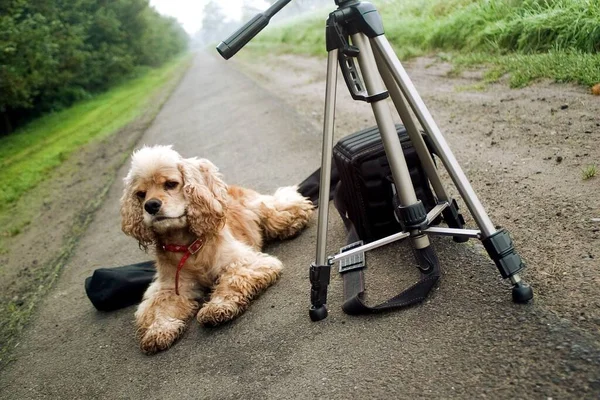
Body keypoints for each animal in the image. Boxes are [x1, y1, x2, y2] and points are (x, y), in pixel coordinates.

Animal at [119, 146, 312, 354]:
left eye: (171, 184)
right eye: (140, 194)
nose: (151, 205)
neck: (187, 245)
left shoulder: (247, 262)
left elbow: (232, 281)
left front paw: (217, 307)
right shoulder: (170, 287)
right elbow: (158, 308)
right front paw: (158, 331)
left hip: (265, 210)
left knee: (287, 205)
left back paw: (295, 221)